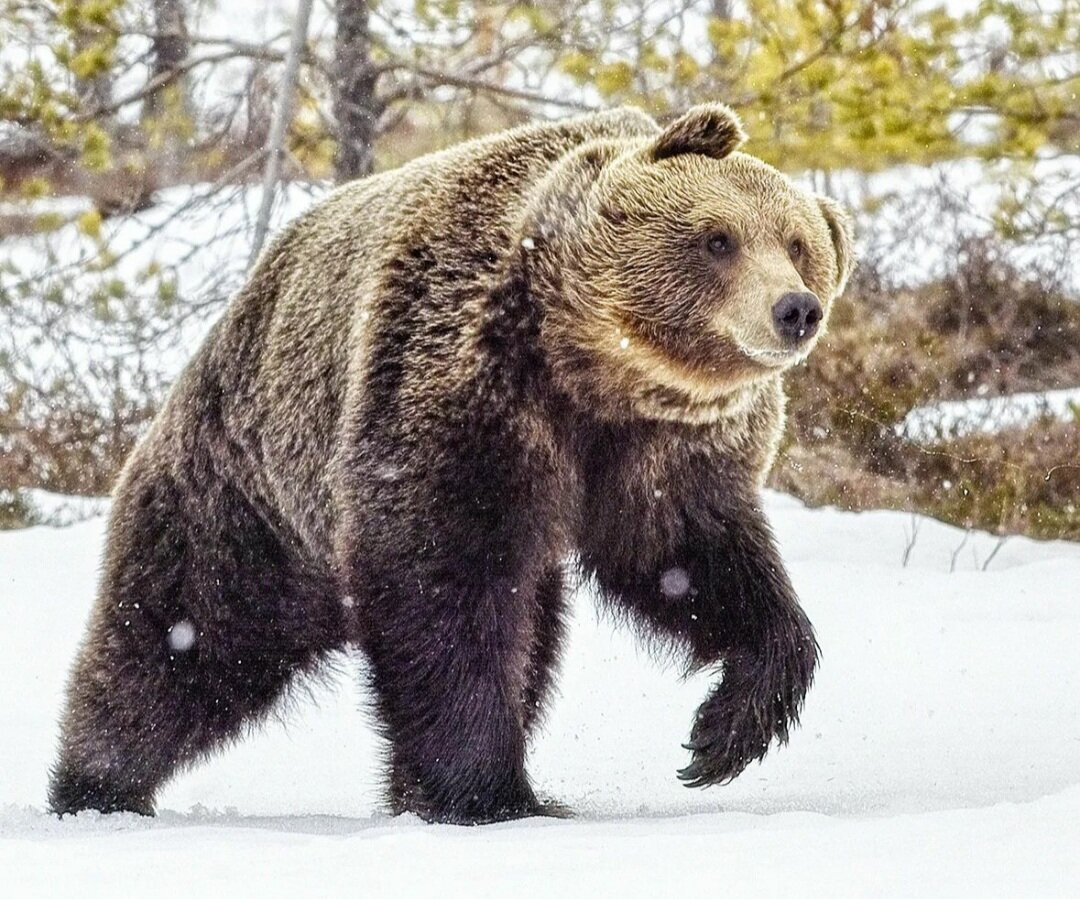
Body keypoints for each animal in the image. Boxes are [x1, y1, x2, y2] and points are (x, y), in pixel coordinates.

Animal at [48, 101, 851, 825]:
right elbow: (444, 589)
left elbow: (687, 559)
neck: (589, 371)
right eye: (718, 238)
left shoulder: (662, 450)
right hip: (250, 491)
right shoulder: (457, 387)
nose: (794, 308)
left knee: (533, 638)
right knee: (185, 638)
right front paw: (486, 793)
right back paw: (95, 786)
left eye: (799, 243)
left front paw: (725, 730)